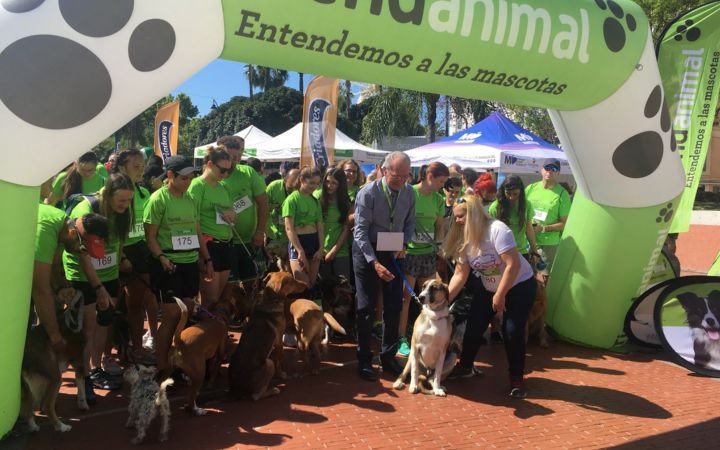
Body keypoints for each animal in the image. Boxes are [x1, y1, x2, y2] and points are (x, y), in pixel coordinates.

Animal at [19, 290, 88, 434]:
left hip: (27, 385)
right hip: (56, 377)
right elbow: (81, 386)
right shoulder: (79, 362)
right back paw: (62, 426)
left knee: (28, 406)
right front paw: (83, 404)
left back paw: (33, 427)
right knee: (46, 406)